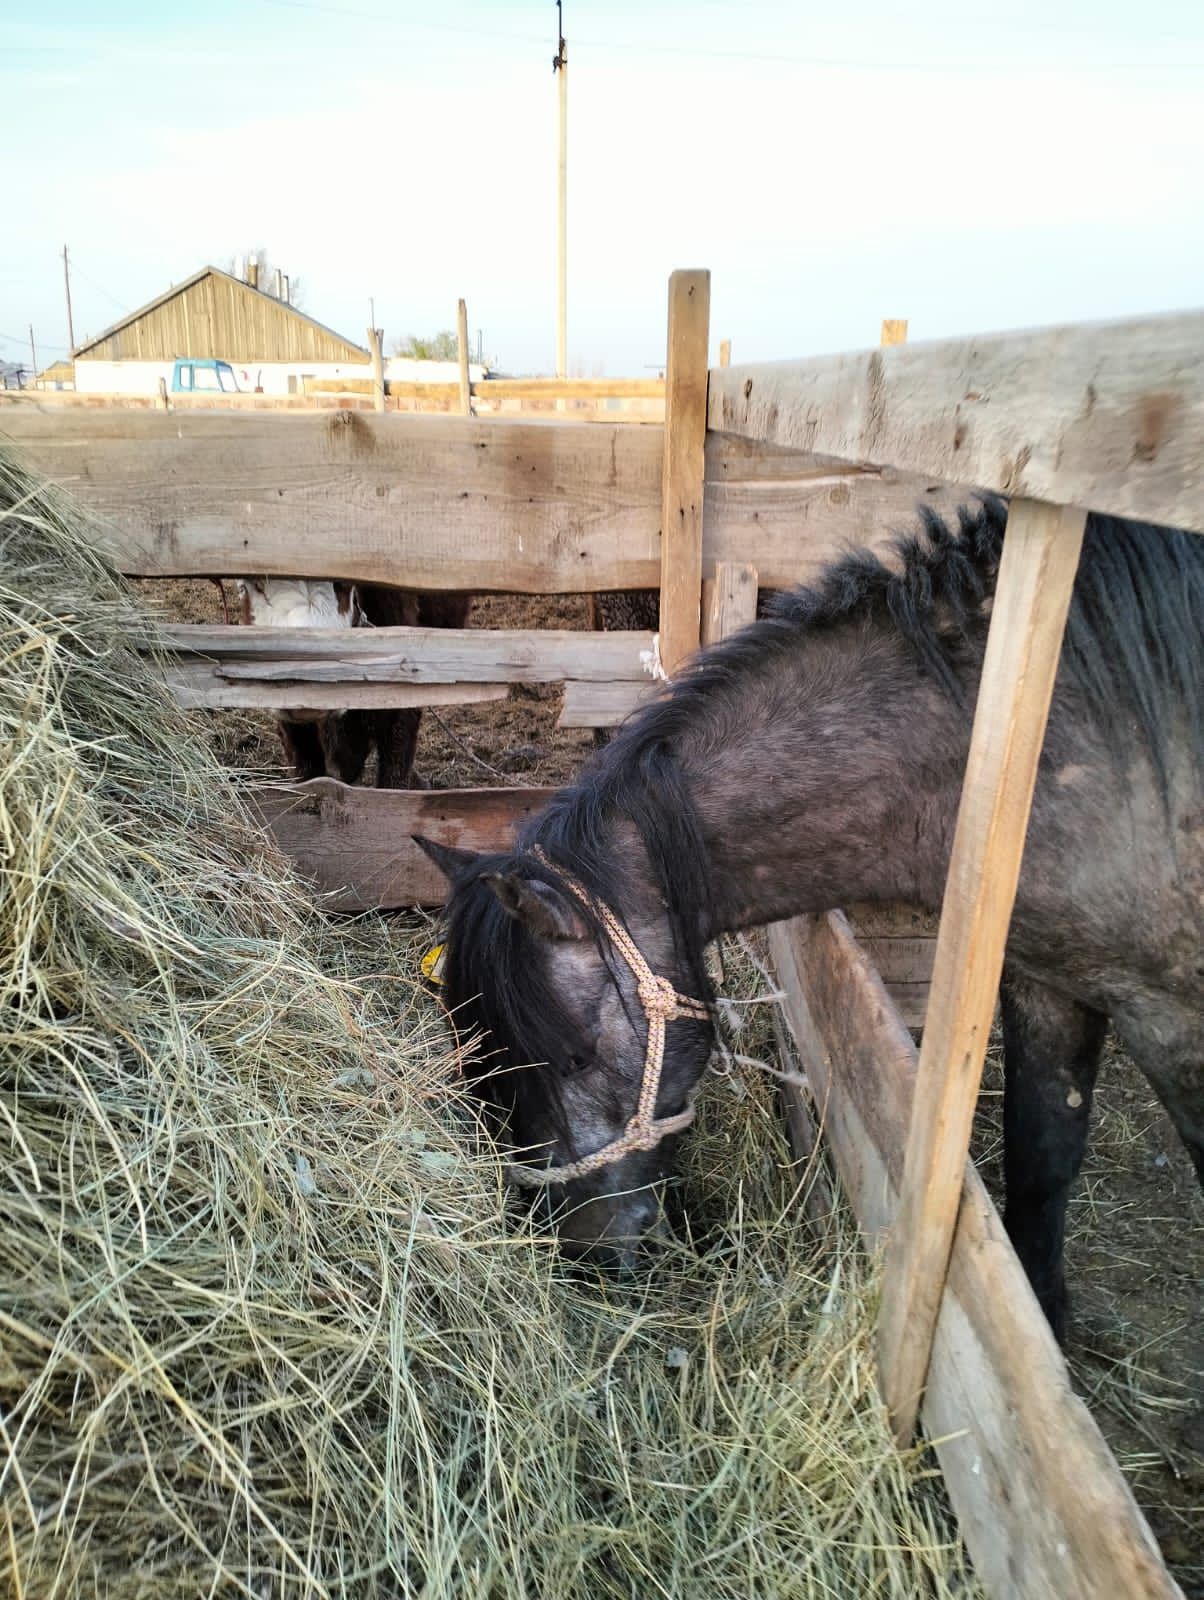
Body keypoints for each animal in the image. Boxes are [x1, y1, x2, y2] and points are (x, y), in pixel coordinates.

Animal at [416, 499, 1204, 1337]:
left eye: (571, 1060)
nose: (582, 1256)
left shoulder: (1172, 1017)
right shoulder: (1047, 980)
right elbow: (1042, 1159)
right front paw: (1048, 1324)